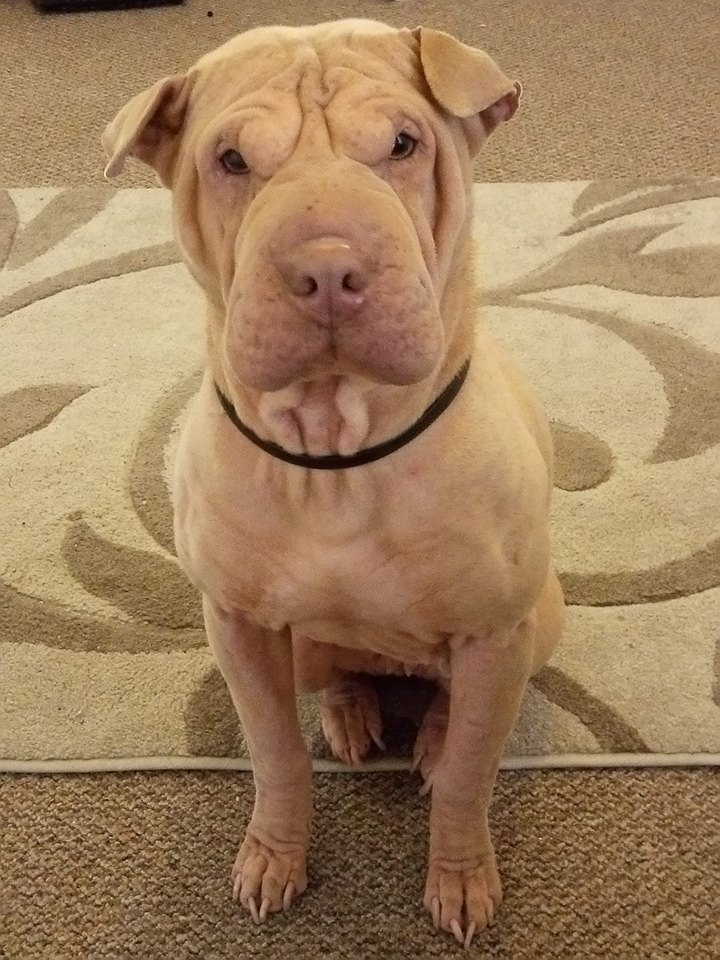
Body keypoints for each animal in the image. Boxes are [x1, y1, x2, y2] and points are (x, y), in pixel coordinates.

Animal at [102, 20, 564, 944]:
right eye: (232, 159)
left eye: (403, 144)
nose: (326, 271)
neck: (337, 457)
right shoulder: (238, 630)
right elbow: (276, 754)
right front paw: (274, 854)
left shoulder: (496, 636)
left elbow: (472, 775)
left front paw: (460, 874)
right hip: (311, 648)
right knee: (344, 673)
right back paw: (353, 713)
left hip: (542, 621)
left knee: (452, 707)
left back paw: (430, 737)